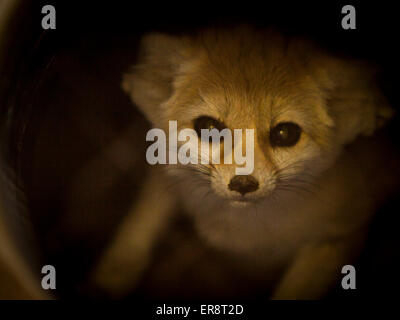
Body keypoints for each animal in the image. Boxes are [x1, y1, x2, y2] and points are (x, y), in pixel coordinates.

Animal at [94, 26, 396, 298]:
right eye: (209, 127)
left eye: (285, 133)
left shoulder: (340, 233)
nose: (243, 184)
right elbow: (142, 219)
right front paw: (112, 274)